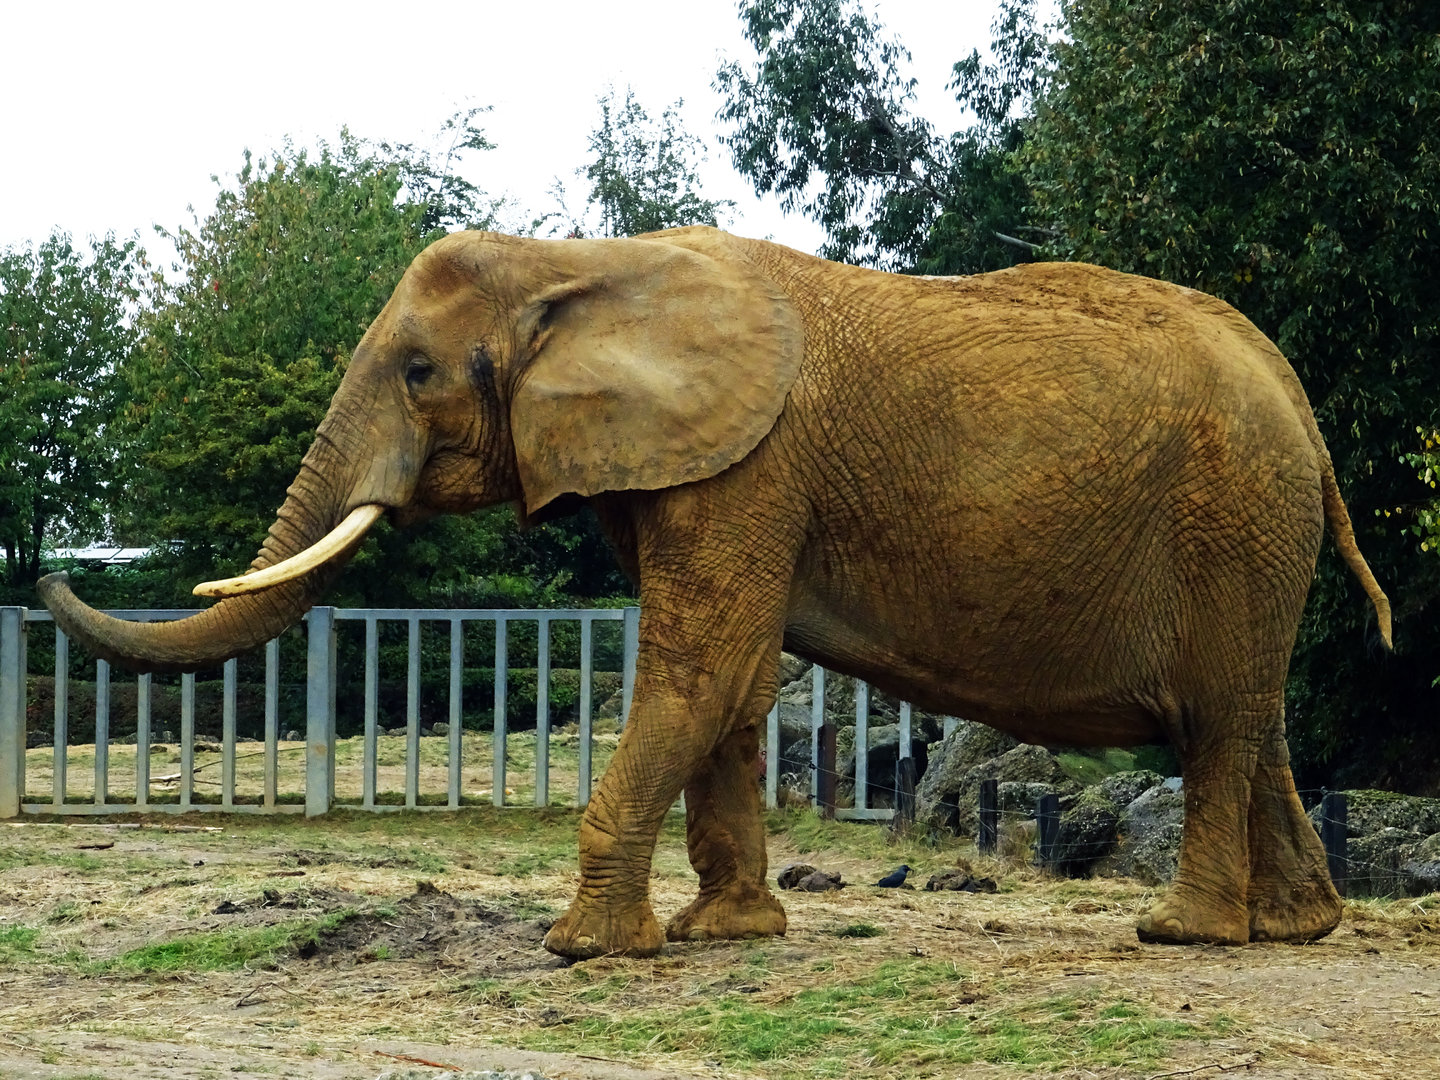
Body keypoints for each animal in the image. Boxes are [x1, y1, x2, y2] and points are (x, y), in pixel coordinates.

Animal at [39, 226, 1392, 958]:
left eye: (419, 372)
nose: (53, 566)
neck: (581, 265)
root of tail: (1304, 408)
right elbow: (733, 683)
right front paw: (724, 939)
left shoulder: (750, 465)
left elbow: (703, 664)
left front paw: (583, 951)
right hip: (1252, 533)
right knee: (1251, 722)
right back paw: (1299, 930)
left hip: (1234, 517)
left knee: (1218, 726)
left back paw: (1183, 934)